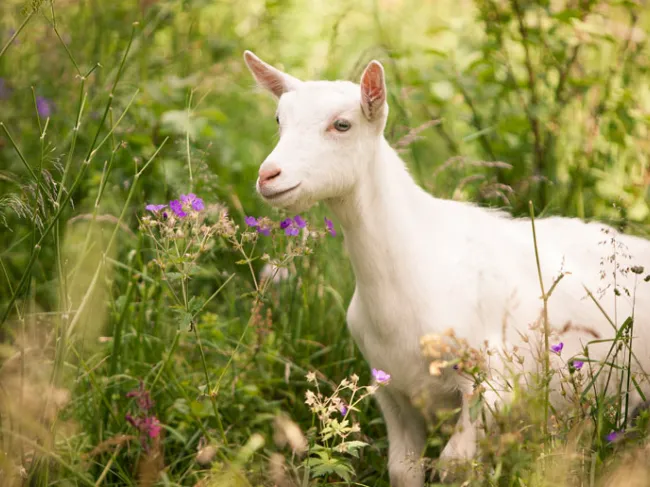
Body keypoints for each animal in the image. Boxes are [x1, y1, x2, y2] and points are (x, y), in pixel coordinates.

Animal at [243, 50, 650, 486]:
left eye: (342, 124)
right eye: (279, 120)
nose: (268, 176)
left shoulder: (492, 387)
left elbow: (455, 464)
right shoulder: (391, 390)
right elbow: (403, 469)